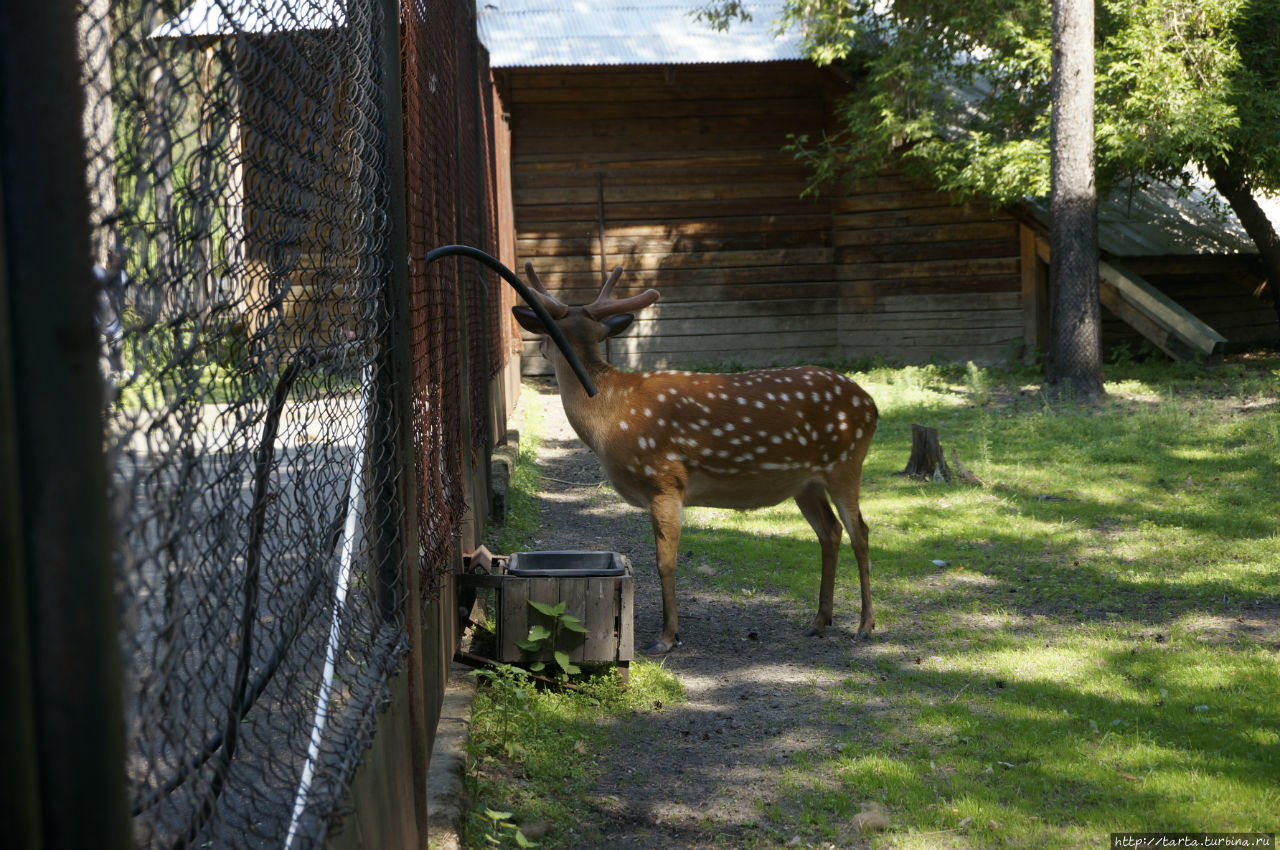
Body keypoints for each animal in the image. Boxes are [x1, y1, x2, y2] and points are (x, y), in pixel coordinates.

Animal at [512, 262, 880, 652]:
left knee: (860, 532)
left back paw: (865, 625)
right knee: (830, 531)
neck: (608, 417)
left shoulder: (664, 481)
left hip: (846, 462)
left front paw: (667, 637)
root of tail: (872, 406)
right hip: (805, 483)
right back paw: (819, 621)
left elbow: (665, 563)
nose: (538, 352)